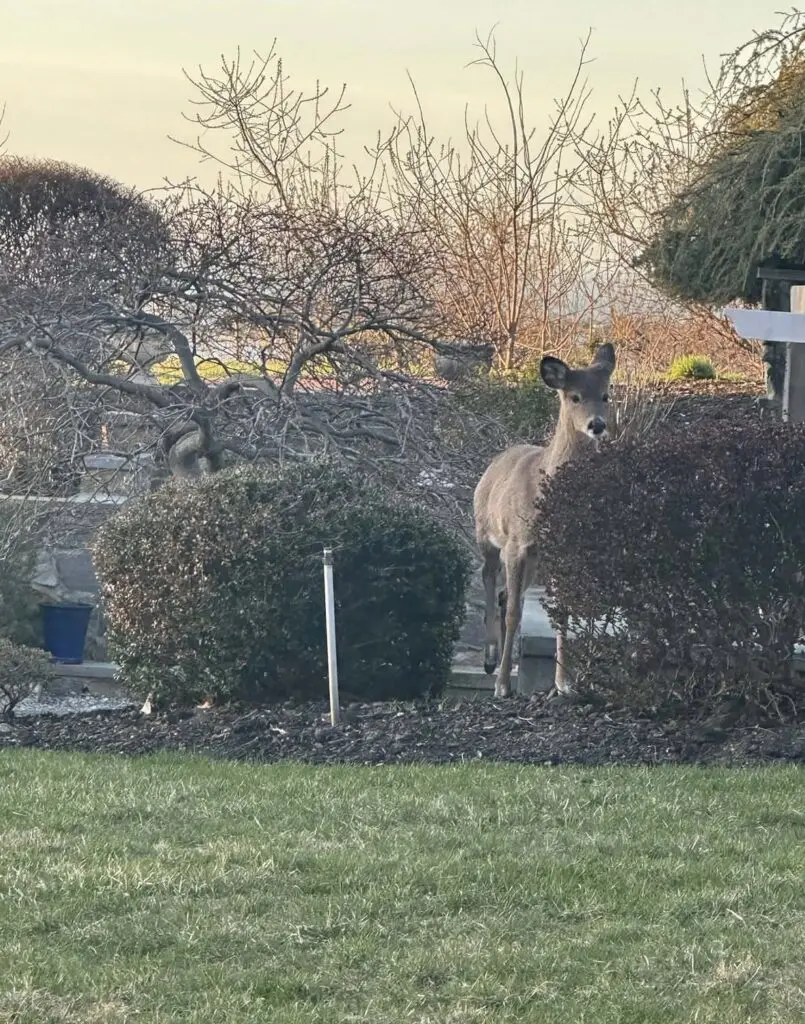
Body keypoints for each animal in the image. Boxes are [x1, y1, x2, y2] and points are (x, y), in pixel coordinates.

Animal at [473, 343, 616, 697]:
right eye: (574, 396)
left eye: (606, 395)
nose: (596, 425)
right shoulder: (516, 544)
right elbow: (514, 613)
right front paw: (502, 687)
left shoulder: (560, 550)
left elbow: (560, 612)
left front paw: (564, 683)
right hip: (487, 534)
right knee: (489, 580)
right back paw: (490, 659)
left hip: (535, 558)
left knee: (506, 594)